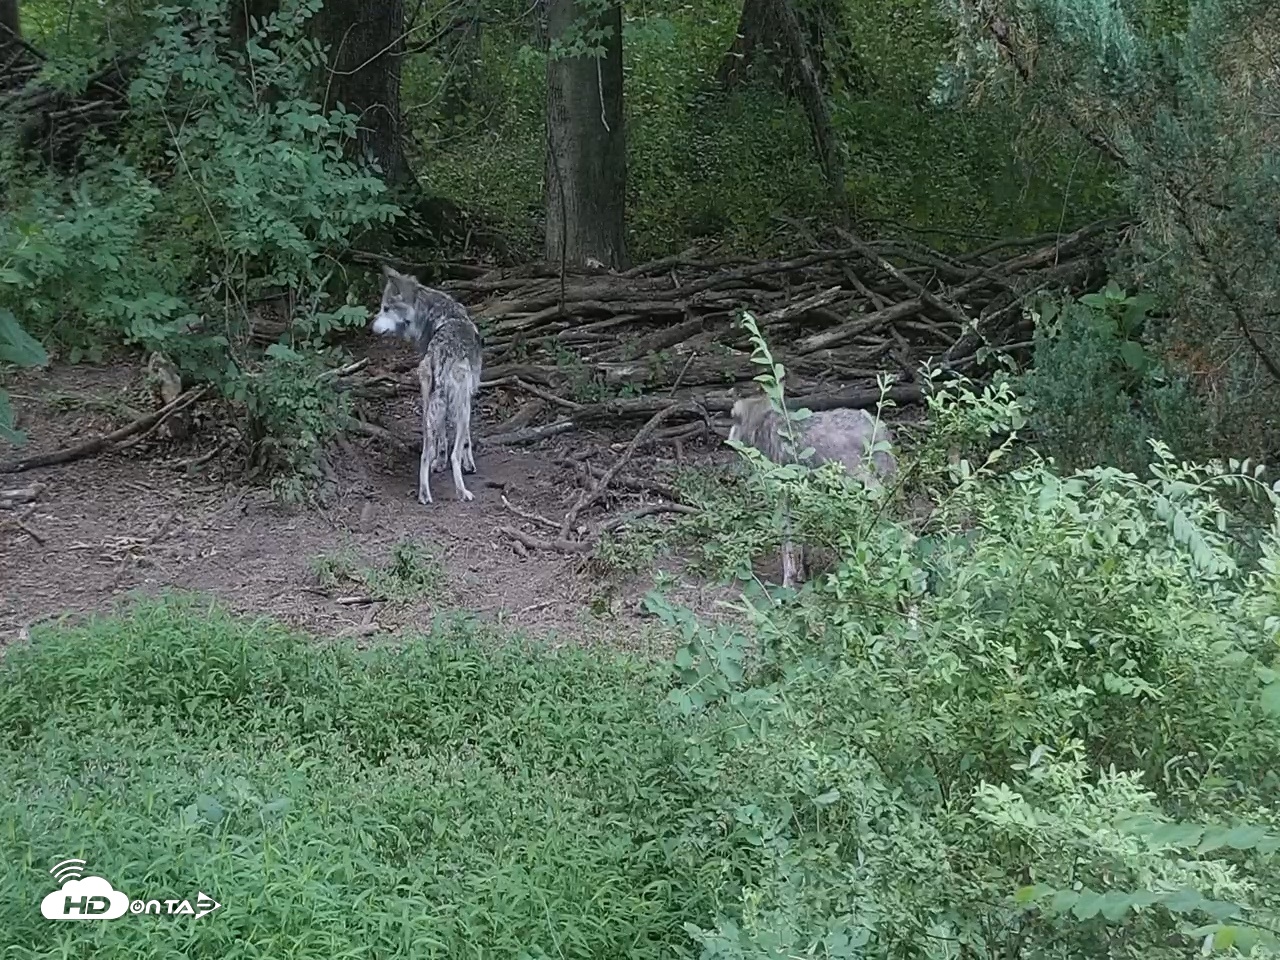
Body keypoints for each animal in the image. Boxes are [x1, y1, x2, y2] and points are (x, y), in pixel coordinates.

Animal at [371, 265, 483, 504]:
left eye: (385, 308)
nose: (370, 327)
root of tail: (438, 354)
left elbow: (441, 439)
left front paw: (438, 464)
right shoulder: (468, 397)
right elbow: (466, 440)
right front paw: (469, 465)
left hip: (427, 410)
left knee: (425, 453)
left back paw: (424, 494)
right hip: (462, 410)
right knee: (454, 454)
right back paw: (462, 492)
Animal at [728, 394, 898, 587]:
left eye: (733, 419)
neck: (762, 424)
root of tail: (882, 428)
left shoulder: (783, 494)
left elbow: (787, 538)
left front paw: (789, 580)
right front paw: (803, 571)